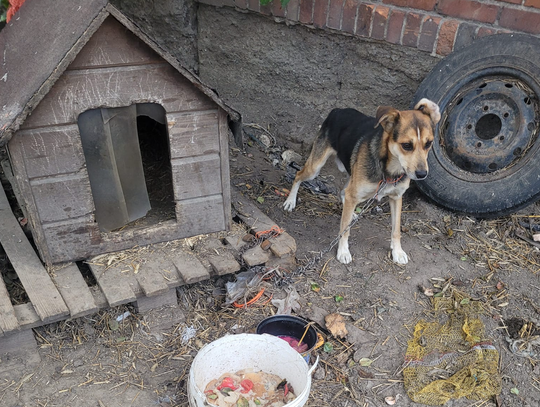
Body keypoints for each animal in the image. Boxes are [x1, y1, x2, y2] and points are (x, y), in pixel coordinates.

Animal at [282, 99, 438, 264]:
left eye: (429, 144)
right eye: (407, 145)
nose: (422, 174)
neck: (389, 170)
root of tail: (338, 110)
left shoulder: (396, 198)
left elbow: (396, 229)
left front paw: (398, 252)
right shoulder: (354, 193)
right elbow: (344, 230)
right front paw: (343, 251)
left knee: (343, 192)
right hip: (315, 168)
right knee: (298, 175)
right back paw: (290, 201)